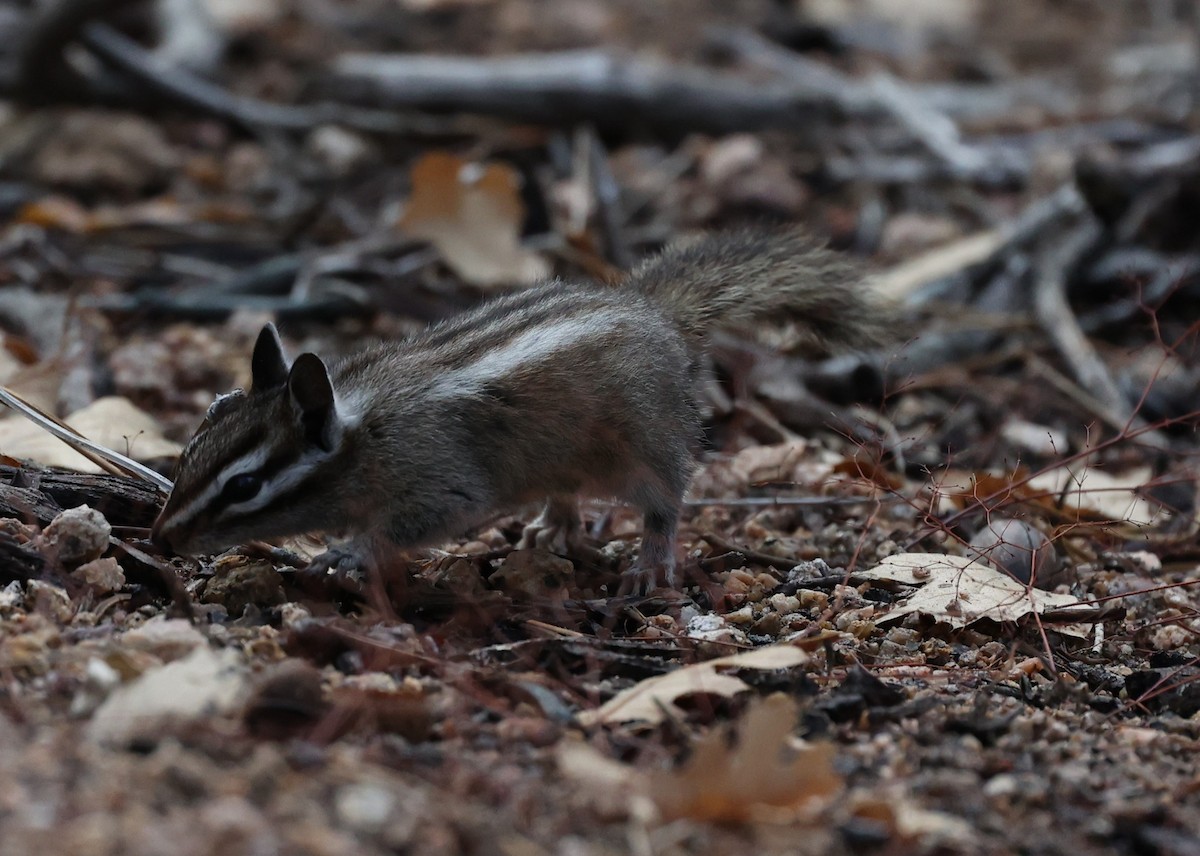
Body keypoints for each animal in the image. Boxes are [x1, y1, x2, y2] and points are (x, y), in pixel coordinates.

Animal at [151, 229, 884, 593]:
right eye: (191, 446)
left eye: (245, 484)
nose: (160, 541)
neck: (363, 434)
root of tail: (655, 312)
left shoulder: (439, 484)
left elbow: (405, 525)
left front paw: (347, 553)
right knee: (565, 489)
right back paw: (552, 524)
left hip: (646, 445)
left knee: (665, 501)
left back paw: (650, 559)